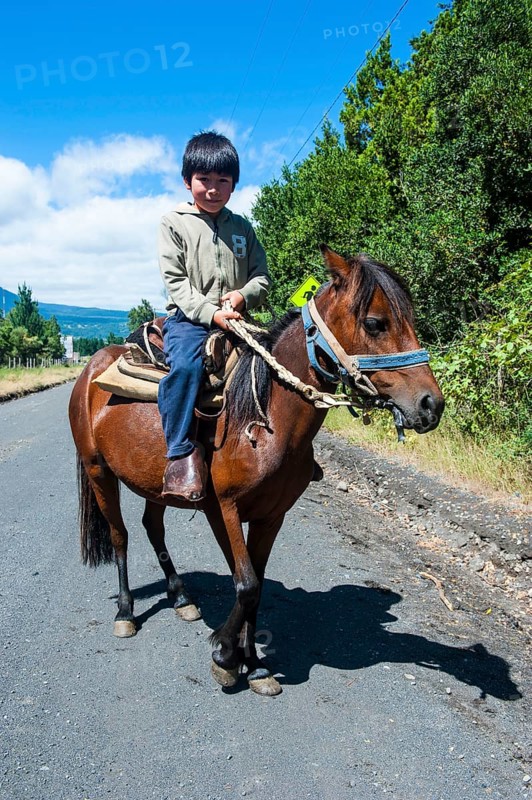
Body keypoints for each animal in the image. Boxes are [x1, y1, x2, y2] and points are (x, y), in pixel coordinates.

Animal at [69, 246, 444, 696]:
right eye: (374, 323)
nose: (431, 405)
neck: (266, 419)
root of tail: (92, 368)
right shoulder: (222, 509)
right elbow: (244, 582)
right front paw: (226, 657)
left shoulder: (272, 514)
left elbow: (257, 585)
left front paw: (254, 663)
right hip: (98, 472)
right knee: (120, 536)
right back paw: (126, 612)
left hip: (154, 483)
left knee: (152, 527)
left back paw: (181, 597)